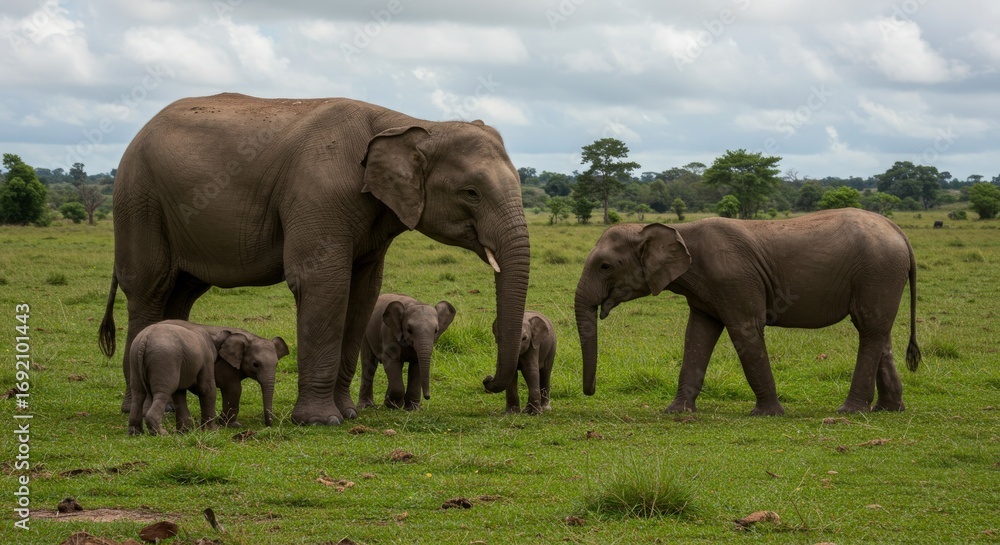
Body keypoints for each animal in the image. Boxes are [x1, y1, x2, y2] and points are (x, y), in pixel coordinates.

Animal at [128, 320, 288, 435]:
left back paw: (136, 432)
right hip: (164, 360)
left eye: (276, 364)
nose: (269, 425)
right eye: (256, 365)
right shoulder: (219, 364)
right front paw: (225, 427)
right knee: (163, 392)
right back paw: (161, 432)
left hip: (135, 359)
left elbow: (181, 391)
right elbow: (226, 389)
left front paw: (185, 430)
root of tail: (144, 339)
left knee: (138, 392)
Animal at [575, 208, 921, 415]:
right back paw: (889, 410)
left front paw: (766, 414)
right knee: (877, 331)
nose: (589, 393)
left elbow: (745, 330)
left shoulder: (734, 281)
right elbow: (697, 336)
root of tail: (900, 232)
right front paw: (677, 412)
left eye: (605, 266)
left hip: (877, 270)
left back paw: (850, 411)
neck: (677, 230)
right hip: (879, 275)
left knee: (870, 330)